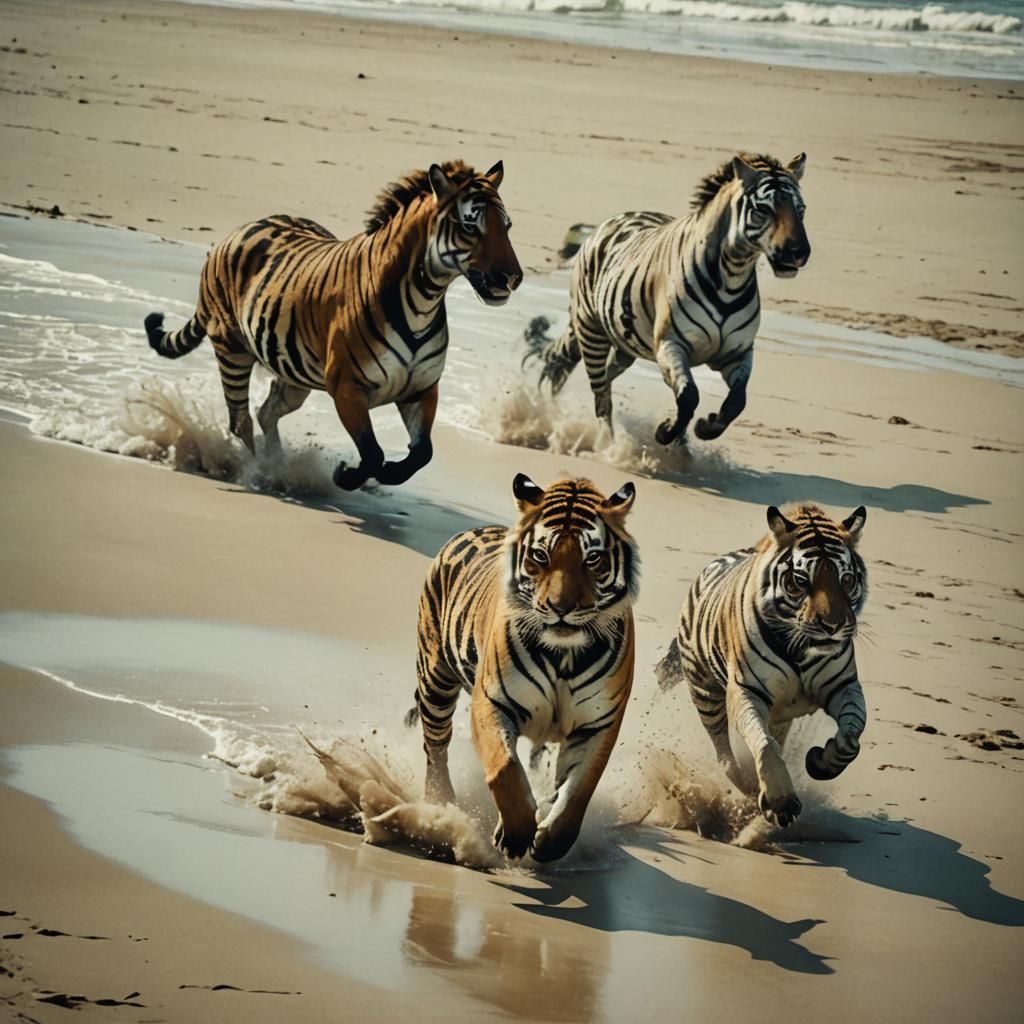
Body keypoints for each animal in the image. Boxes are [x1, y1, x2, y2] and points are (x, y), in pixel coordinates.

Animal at [144, 160, 521, 490]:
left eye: (506, 227)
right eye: (470, 227)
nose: (513, 277)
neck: (423, 301)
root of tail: (240, 229)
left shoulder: (422, 390)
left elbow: (422, 453)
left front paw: (389, 474)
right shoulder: (348, 388)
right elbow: (372, 452)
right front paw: (347, 475)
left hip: (293, 376)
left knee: (266, 413)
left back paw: (280, 464)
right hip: (232, 352)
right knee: (242, 422)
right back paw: (263, 472)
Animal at [411, 473, 639, 862]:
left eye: (593, 558)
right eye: (540, 556)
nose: (560, 607)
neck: (564, 655)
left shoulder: (598, 724)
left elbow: (578, 792)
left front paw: (549, 843)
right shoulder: (492, 702)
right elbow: (504, 768)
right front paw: (516, 836)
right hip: (436, 679)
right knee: (436, 746)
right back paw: (440, 803)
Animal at [523, 153, 809, 446]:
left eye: (801, 210)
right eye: (763, 210)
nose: (798, 253)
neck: (730, 280)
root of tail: (608, 222)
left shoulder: (738, 353)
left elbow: (736, 402)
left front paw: (704, 428)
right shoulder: (670, 345)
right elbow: (689, 396)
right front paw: (665, 433)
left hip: (625, 344)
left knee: (602, 374)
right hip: (590, 328)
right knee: (599, 394)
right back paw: (610, 445)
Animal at [655, 503, 868, 827]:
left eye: (846, 580)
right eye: (800, 581)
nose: (833, 626)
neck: (801, 649)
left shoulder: (844, 687)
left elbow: (852, 736)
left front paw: (820, 762)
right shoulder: (747, 691)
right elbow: (765, 746)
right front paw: (780, 802)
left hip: (778, 715)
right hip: (706, 696)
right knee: (726, 758)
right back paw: (752, 792)